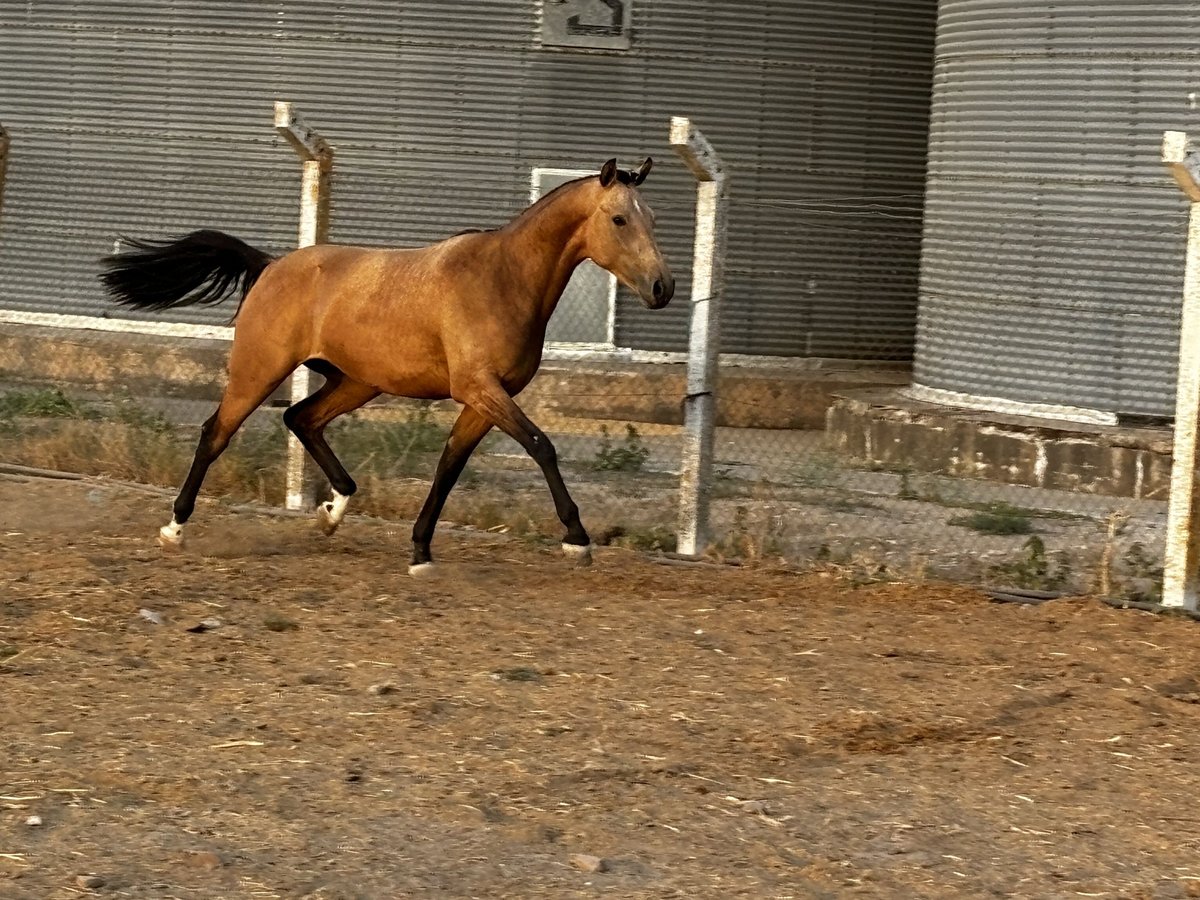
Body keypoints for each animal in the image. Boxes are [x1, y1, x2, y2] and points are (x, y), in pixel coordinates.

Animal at [98, 157, 674, 574]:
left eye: (653, 218)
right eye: (619, 218)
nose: (662, 288)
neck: (504, 277)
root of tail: (270, 265)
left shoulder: (483, 399)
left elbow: (449, 465)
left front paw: (420, 553)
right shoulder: (480, 388)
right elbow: (541, 446)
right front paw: (578, 541)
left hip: (356, 382)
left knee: (301, 418)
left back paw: (332, 513)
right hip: (257, 372)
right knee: (215, 432)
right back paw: (175, 529)